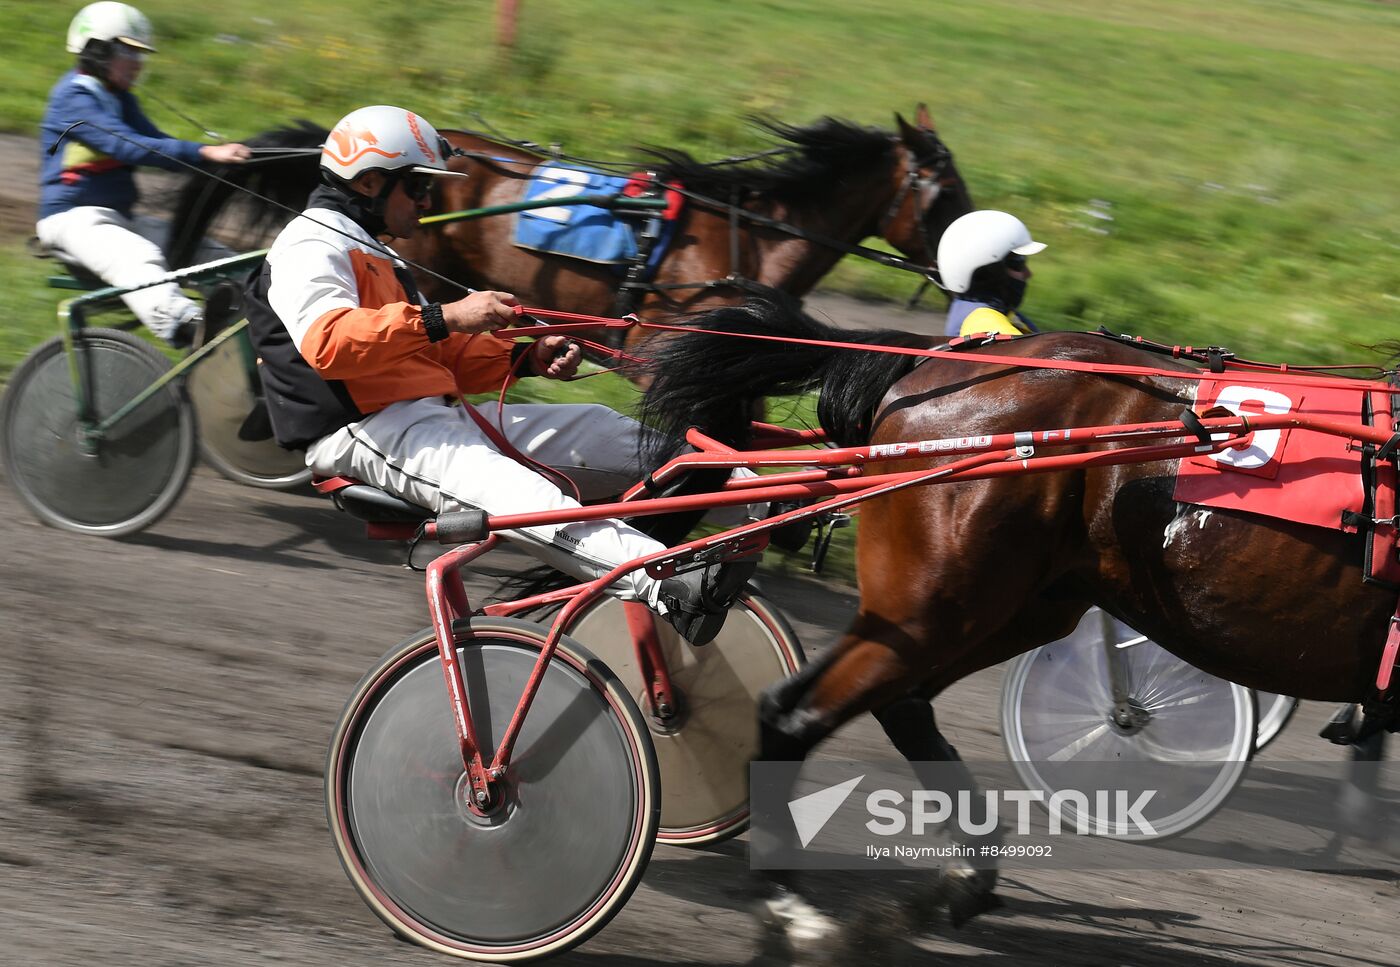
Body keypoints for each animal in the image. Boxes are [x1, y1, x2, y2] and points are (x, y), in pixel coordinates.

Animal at [638, 296, 1400, 940]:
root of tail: (930, 367)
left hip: (1015, 607)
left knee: (899, 703)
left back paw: (965, 874)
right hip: (937, 605)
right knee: (797, 712)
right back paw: (791, 907)